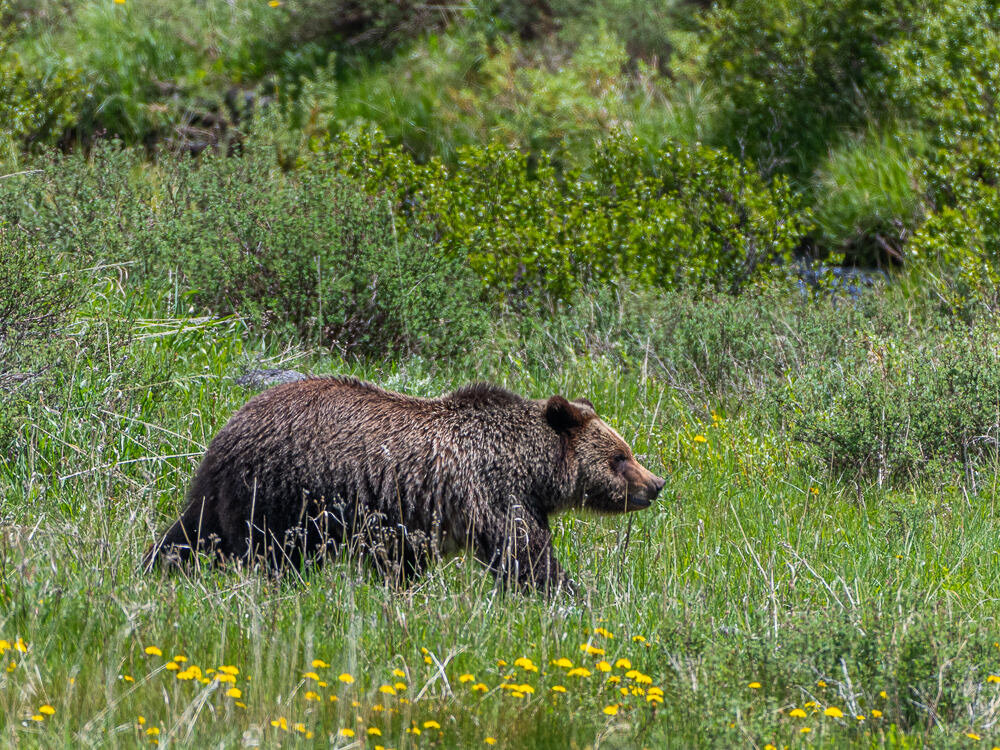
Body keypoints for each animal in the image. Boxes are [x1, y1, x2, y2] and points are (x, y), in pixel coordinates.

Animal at [145, 378, 664, 596]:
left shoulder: (408, 521)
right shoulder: (493, 494)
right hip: (286, 491)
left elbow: (402, 563)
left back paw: (156, 566)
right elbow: (525, 555)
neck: (531, 469)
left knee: (188, 533)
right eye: (620, 458)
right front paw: (571, 595)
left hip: (235, 494)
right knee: (271, 552)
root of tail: (228, 430)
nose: (657, 483)